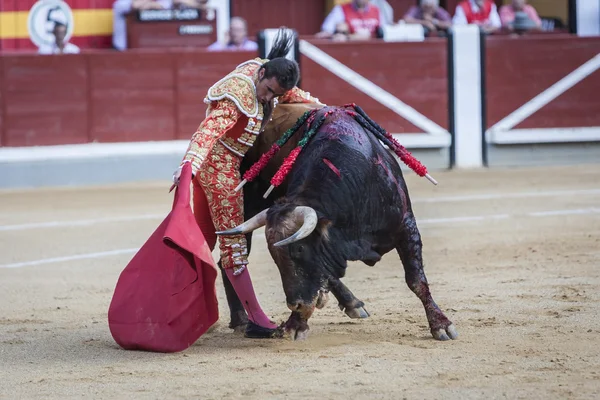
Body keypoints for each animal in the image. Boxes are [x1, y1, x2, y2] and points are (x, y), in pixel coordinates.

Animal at [218, 102, 458, 340]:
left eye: (300, 249)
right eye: (274, 256)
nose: (295, 304)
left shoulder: (407, 226)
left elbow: (416, 280)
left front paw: (441, 325)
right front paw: (296, 324)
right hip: (244, 208)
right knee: (231, 260)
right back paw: (242, 320)